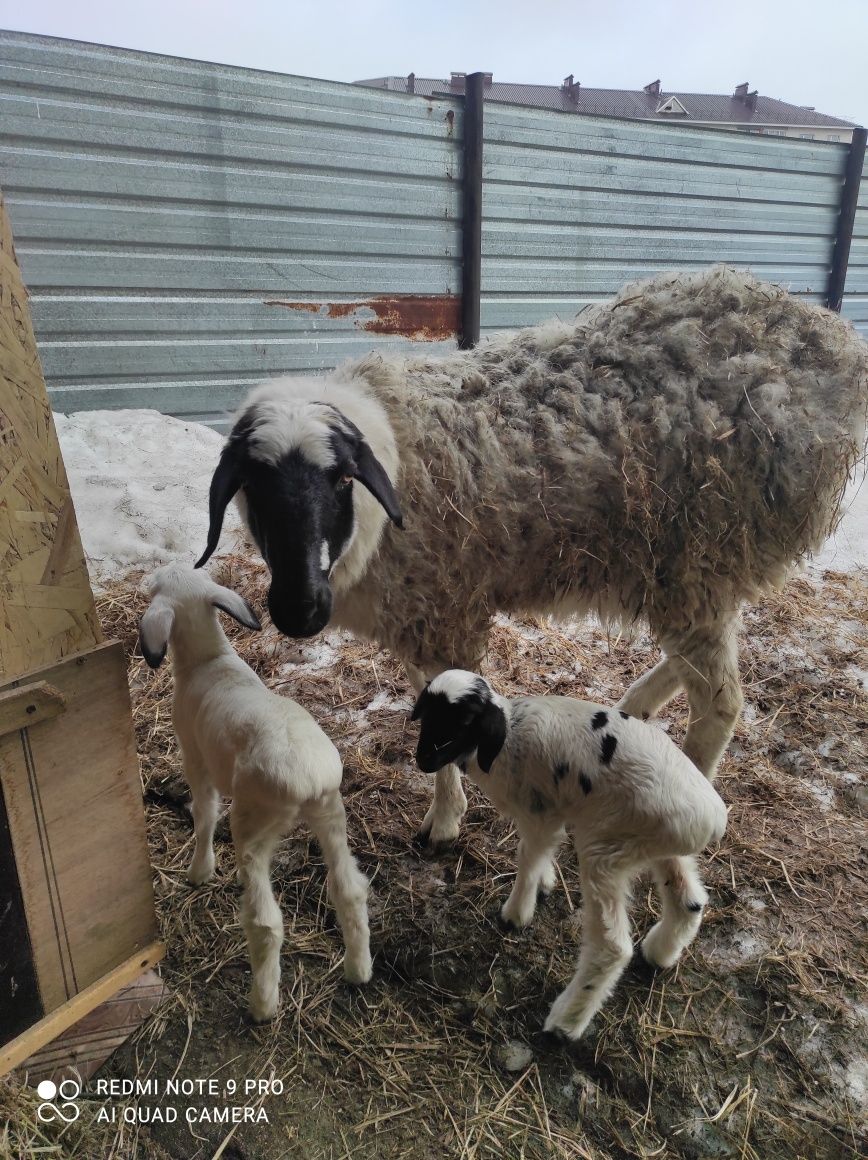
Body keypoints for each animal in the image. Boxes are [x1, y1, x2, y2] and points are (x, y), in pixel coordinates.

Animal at [139, 566, 373, 1020]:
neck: (209, 660)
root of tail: (306, 779)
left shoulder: (195, 757)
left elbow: (204, 815)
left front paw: (199, 872)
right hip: (331, 813)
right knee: (350, 890)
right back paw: (359, 969)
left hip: (255, 821)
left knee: (266, 922)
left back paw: (263, 1004)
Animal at [196, 266, 868, 849]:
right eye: (252, 486)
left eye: (340, 478)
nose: (299, 610)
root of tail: (827, 340)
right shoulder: (420, 612)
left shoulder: (443, 611)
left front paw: (445, 820)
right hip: (701, 564)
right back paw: (638, 704)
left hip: (701, 551)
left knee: (720, 702)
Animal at [413, 668, 724, 1039]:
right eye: (425, 716)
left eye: (462, 723)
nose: (422, 760)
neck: (506, 741)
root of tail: (712, 818)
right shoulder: (552, 811)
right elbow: (542, 852)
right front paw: (545, 883)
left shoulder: (538, 813)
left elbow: (528, 857)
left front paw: (516, 913)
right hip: (654, 843)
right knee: (689, 902)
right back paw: (659, 953)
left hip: (606, 851)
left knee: (612, 948)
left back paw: (566, 1021)